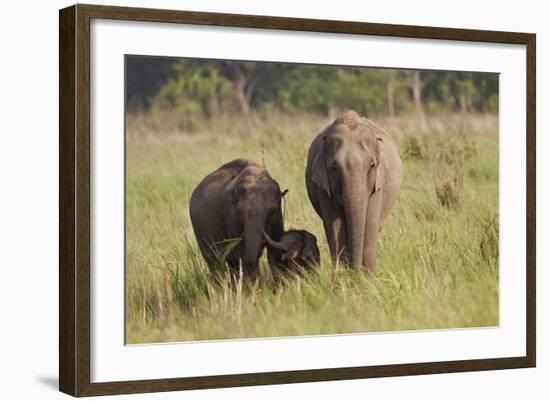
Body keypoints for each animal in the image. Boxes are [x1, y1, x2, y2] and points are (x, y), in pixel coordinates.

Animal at [304, 110, 404, 272]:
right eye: (334, 168)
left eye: (372, 165)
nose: (356, 270)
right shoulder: (323, 187)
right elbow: (334, 227)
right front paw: (342, 276)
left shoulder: (377, 185)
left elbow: (369, 224)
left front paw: (366, 277)